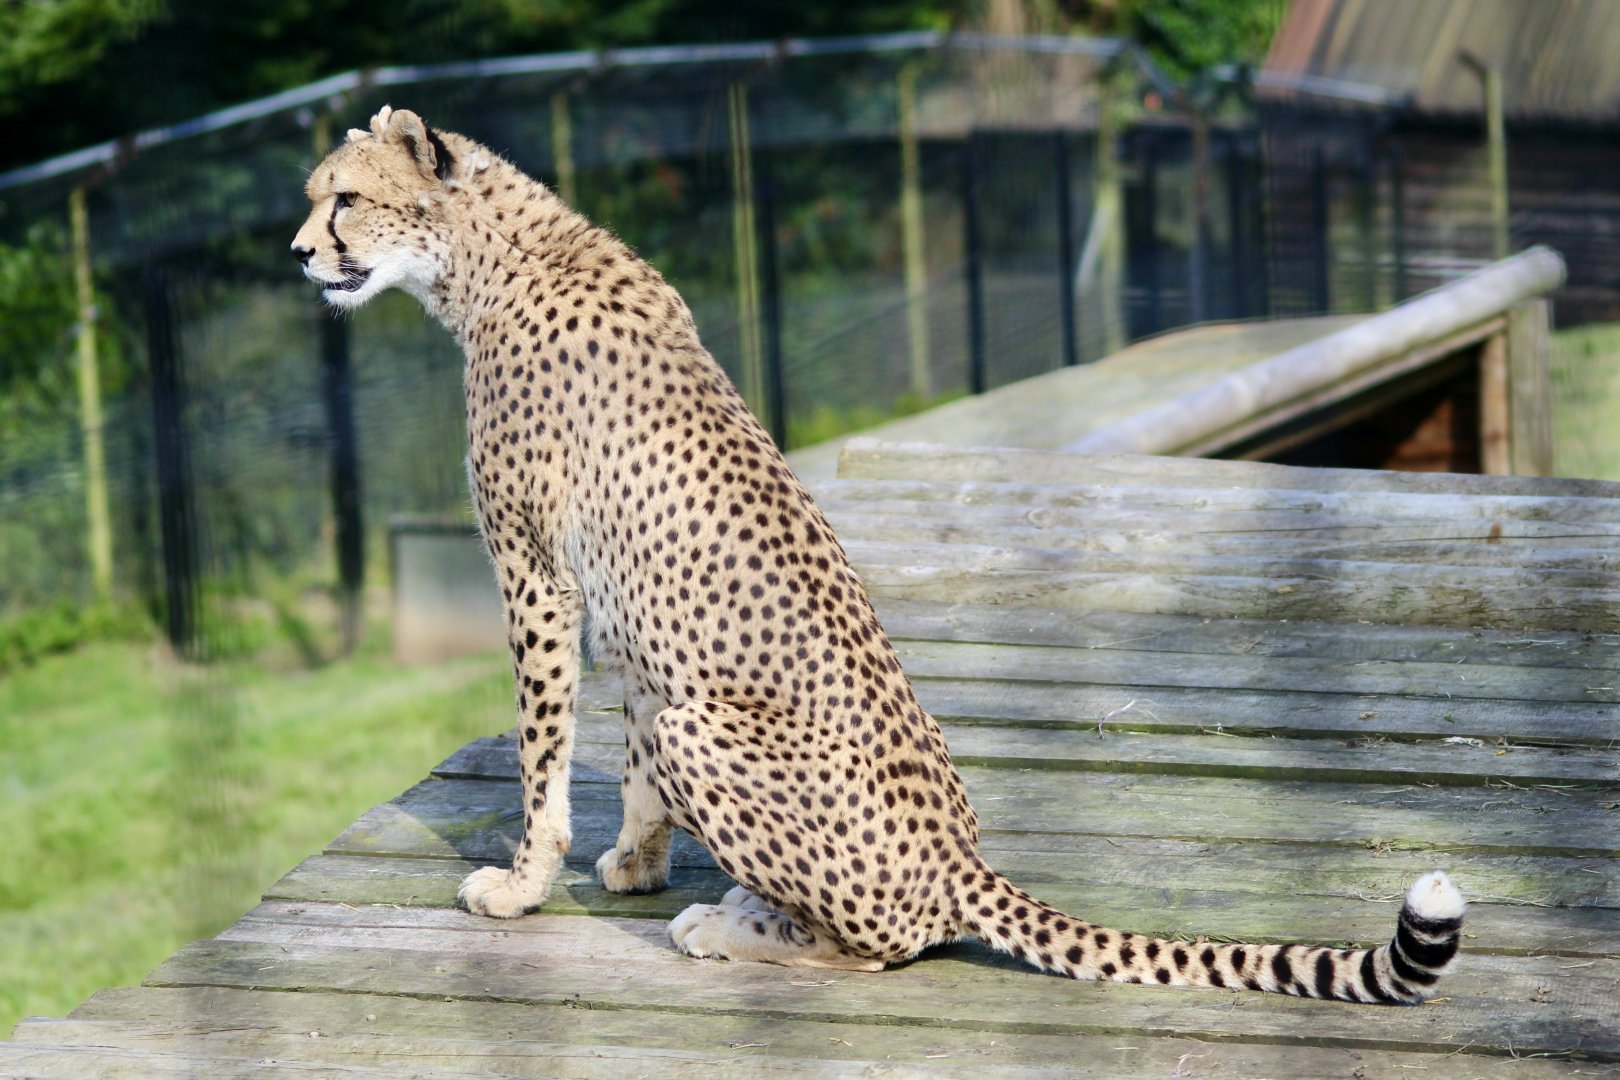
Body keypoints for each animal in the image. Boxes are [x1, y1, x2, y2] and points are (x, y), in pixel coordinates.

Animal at [291, 106, 1465, 1003]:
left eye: (341, 198)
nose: (301, 253)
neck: (496, 254)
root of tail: (962, 860)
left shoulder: (536, 573)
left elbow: (545, 753)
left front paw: (523, 886)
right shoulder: (625, 609)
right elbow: (625, 753)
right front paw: (631, 862)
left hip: (707, 733)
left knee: (878, 951)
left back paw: (733, 927)